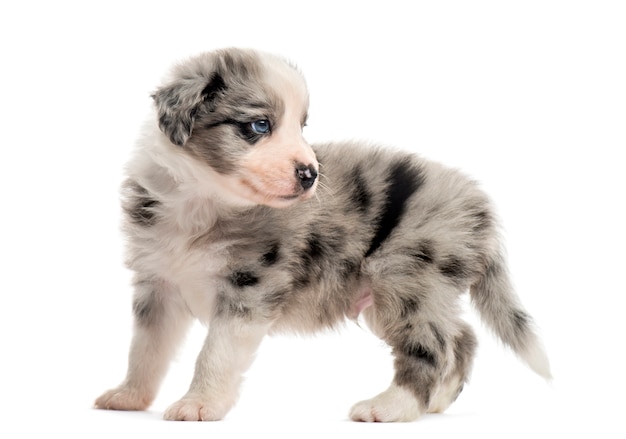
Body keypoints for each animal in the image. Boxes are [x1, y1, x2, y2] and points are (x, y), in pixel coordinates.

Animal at [95, 48, 548, 422]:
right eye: (259, 125)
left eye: (302, 125)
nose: (310, 174)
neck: (202, 200)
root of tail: (480, 205)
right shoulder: (158, 285)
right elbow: (145, 350)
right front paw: (129, 396)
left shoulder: (249, 287)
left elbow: (215, 353)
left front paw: (199, 404)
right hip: (393, 296)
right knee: (462, 336)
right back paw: (434, 402)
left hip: (406, 279)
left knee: (432, 345)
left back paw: (390, 408)